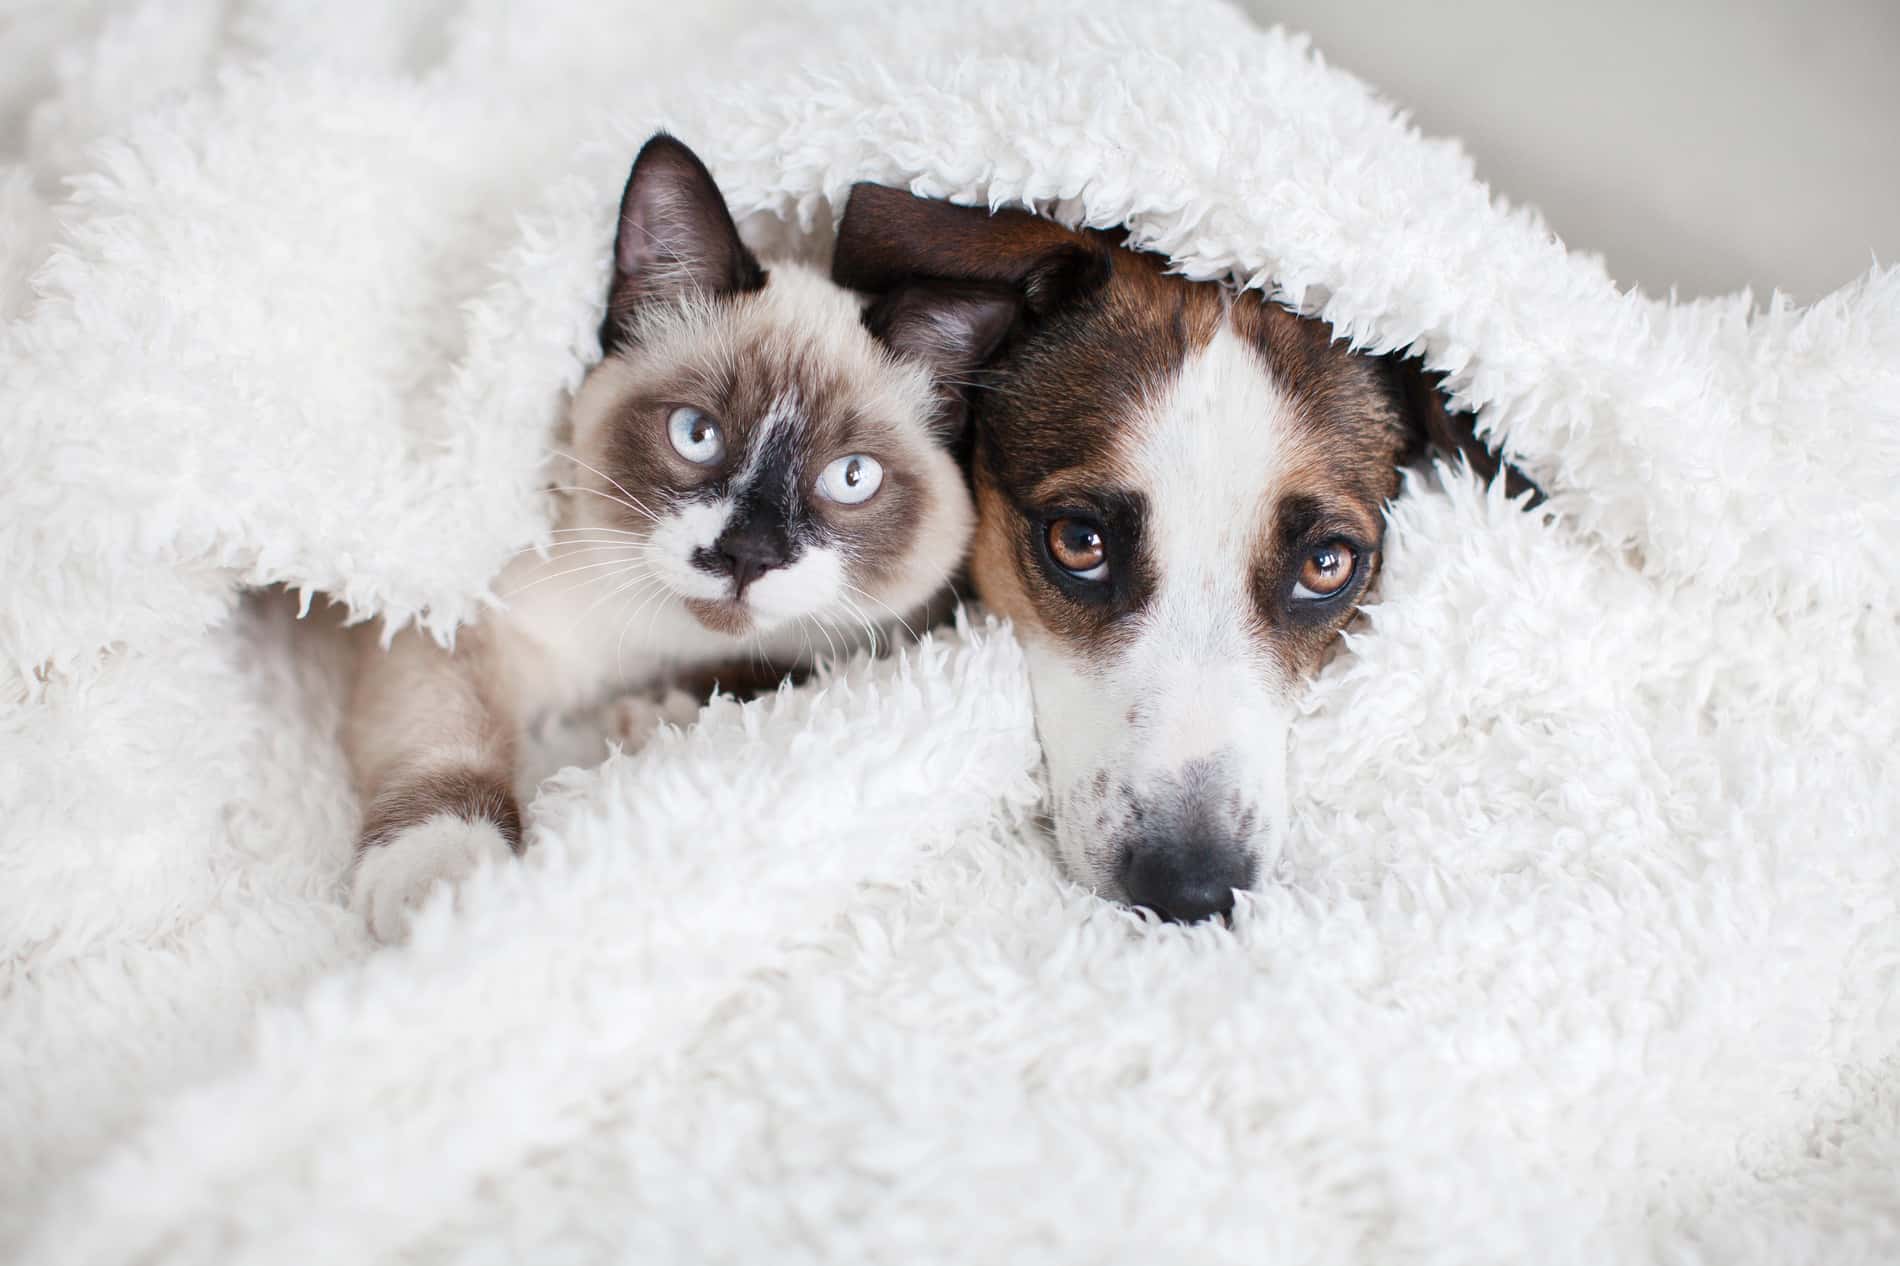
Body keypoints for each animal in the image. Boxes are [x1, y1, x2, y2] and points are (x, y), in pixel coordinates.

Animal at [347, 135, 1018, 935]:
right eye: (696, 434)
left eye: (852, 477)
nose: (747, 555)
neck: (657, 644)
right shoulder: (452, 624)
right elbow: (447, 735)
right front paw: (444, 888)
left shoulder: (850, 645)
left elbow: (766, 674)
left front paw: (650, 717)